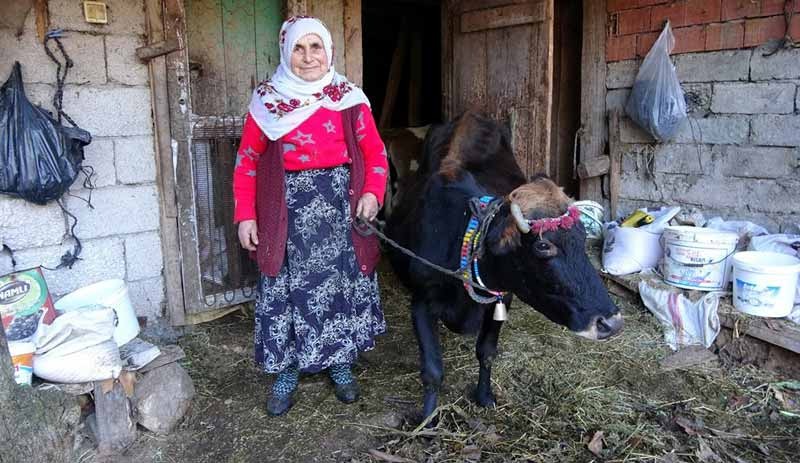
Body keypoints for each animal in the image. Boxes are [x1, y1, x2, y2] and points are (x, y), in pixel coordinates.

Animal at [384, 111, 620, 420]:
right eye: (543, 246)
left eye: (582, 236)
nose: (611, 323)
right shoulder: (421, 302)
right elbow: (433, 370)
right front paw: (427, 420)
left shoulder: (502, 298)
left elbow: (486, 353)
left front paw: (484, 397)